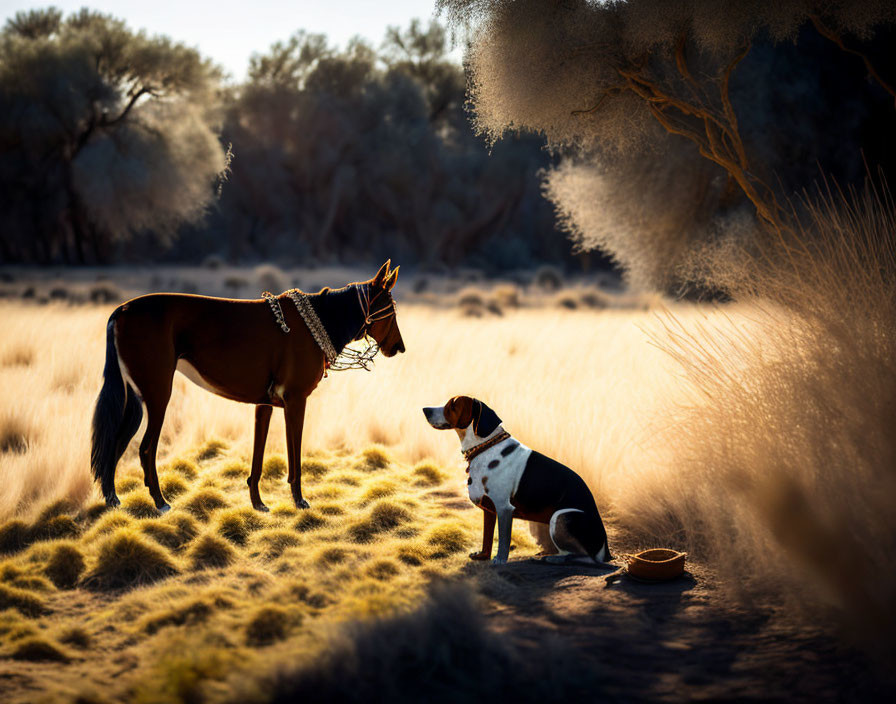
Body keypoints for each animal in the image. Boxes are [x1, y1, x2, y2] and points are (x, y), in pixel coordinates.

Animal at [89, 258, 404, 512]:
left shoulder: (264, 405)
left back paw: (112, 500)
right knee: (145, 449)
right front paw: (299, 501)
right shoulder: (296, 401)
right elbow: (295, 457)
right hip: (157, 395)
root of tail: (121, 310)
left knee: (114, 442)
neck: (318, 320)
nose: (399, 348)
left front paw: (258, 503)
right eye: (390, 310)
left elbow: (258, 457)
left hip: (134, 399)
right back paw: (160, 502)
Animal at [424, 396, 612, 568]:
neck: (485, 446)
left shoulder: (504, 508)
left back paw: (554, 558)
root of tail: (606, 550)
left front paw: (499, 560)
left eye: (453, 404)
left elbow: (503, 539)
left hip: (560, 516)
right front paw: (483, 556)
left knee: (587, 558)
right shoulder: (490, 510)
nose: (425, 409)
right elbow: (487, 537)